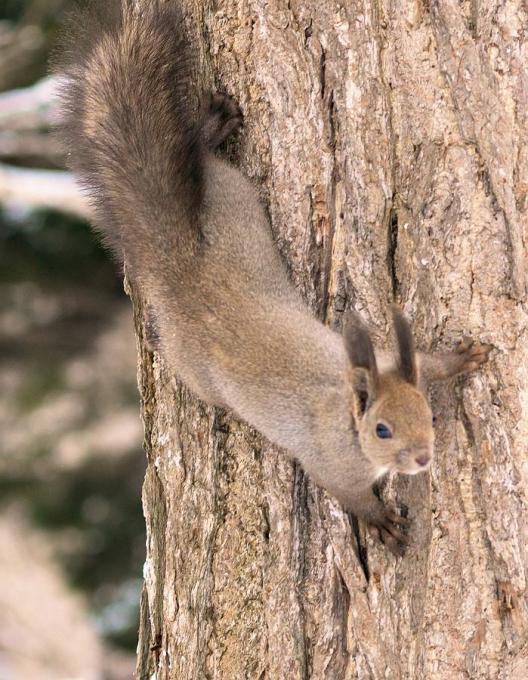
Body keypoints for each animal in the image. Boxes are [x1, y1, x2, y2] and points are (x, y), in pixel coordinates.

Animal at [57, 0, 490, 556]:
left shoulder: (395, 362)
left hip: (231, 198)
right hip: (198, 368)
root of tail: (178, 262)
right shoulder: (329, 463)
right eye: (383, 430)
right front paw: (381, 524)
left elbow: (429, 365)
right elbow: (350, 496)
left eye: (430, 416)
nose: (422, 459)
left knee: (202, 163)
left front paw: (462, 359)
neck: (347, 411)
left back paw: (213, 127)